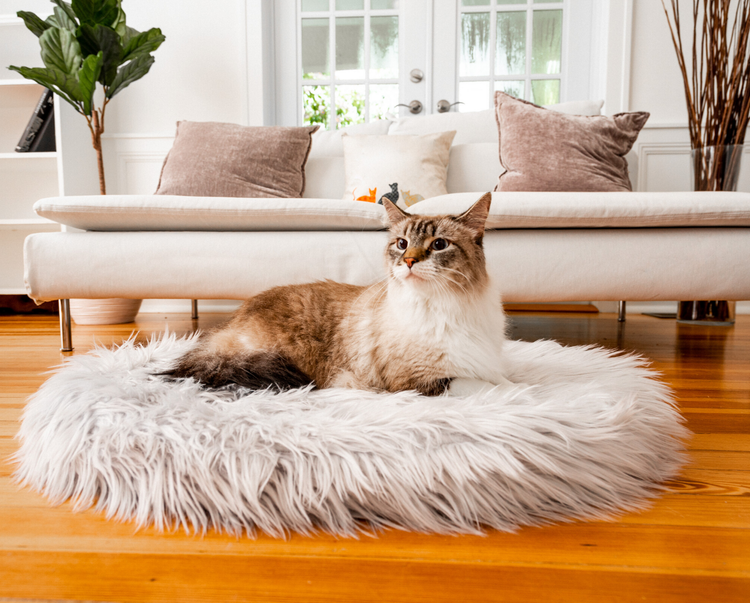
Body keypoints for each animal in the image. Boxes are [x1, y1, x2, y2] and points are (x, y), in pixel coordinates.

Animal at [165, 192, 516, 396]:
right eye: (402, 244)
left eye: (439, 245)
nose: (409, 261)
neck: (447, 306)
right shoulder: (418, 382)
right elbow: (489, 387)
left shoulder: (486, 363)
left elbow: (509, 381)